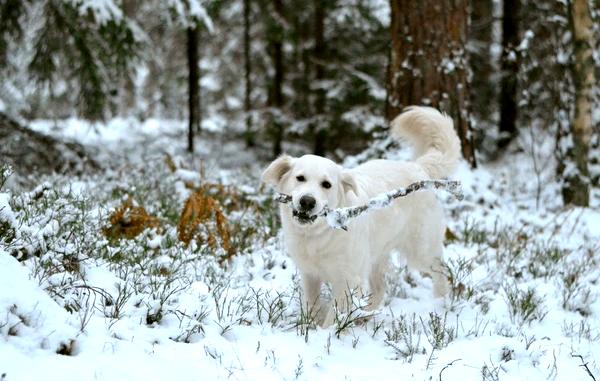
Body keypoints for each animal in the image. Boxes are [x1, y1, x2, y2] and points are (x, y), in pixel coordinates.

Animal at [262, 105, 460, 326]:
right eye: (300, 178)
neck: (319, 235)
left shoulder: (348, 279)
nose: (307, 201)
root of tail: (417, 167)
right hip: (375, 255)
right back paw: (363, 316)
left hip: (421, 250)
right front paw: (310, 324)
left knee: (441, 271)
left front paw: (328, 332)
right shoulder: (310, 274)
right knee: (380, 289)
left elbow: (334, 316)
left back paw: (441, 304)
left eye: (326, 184)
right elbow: (311, 304)